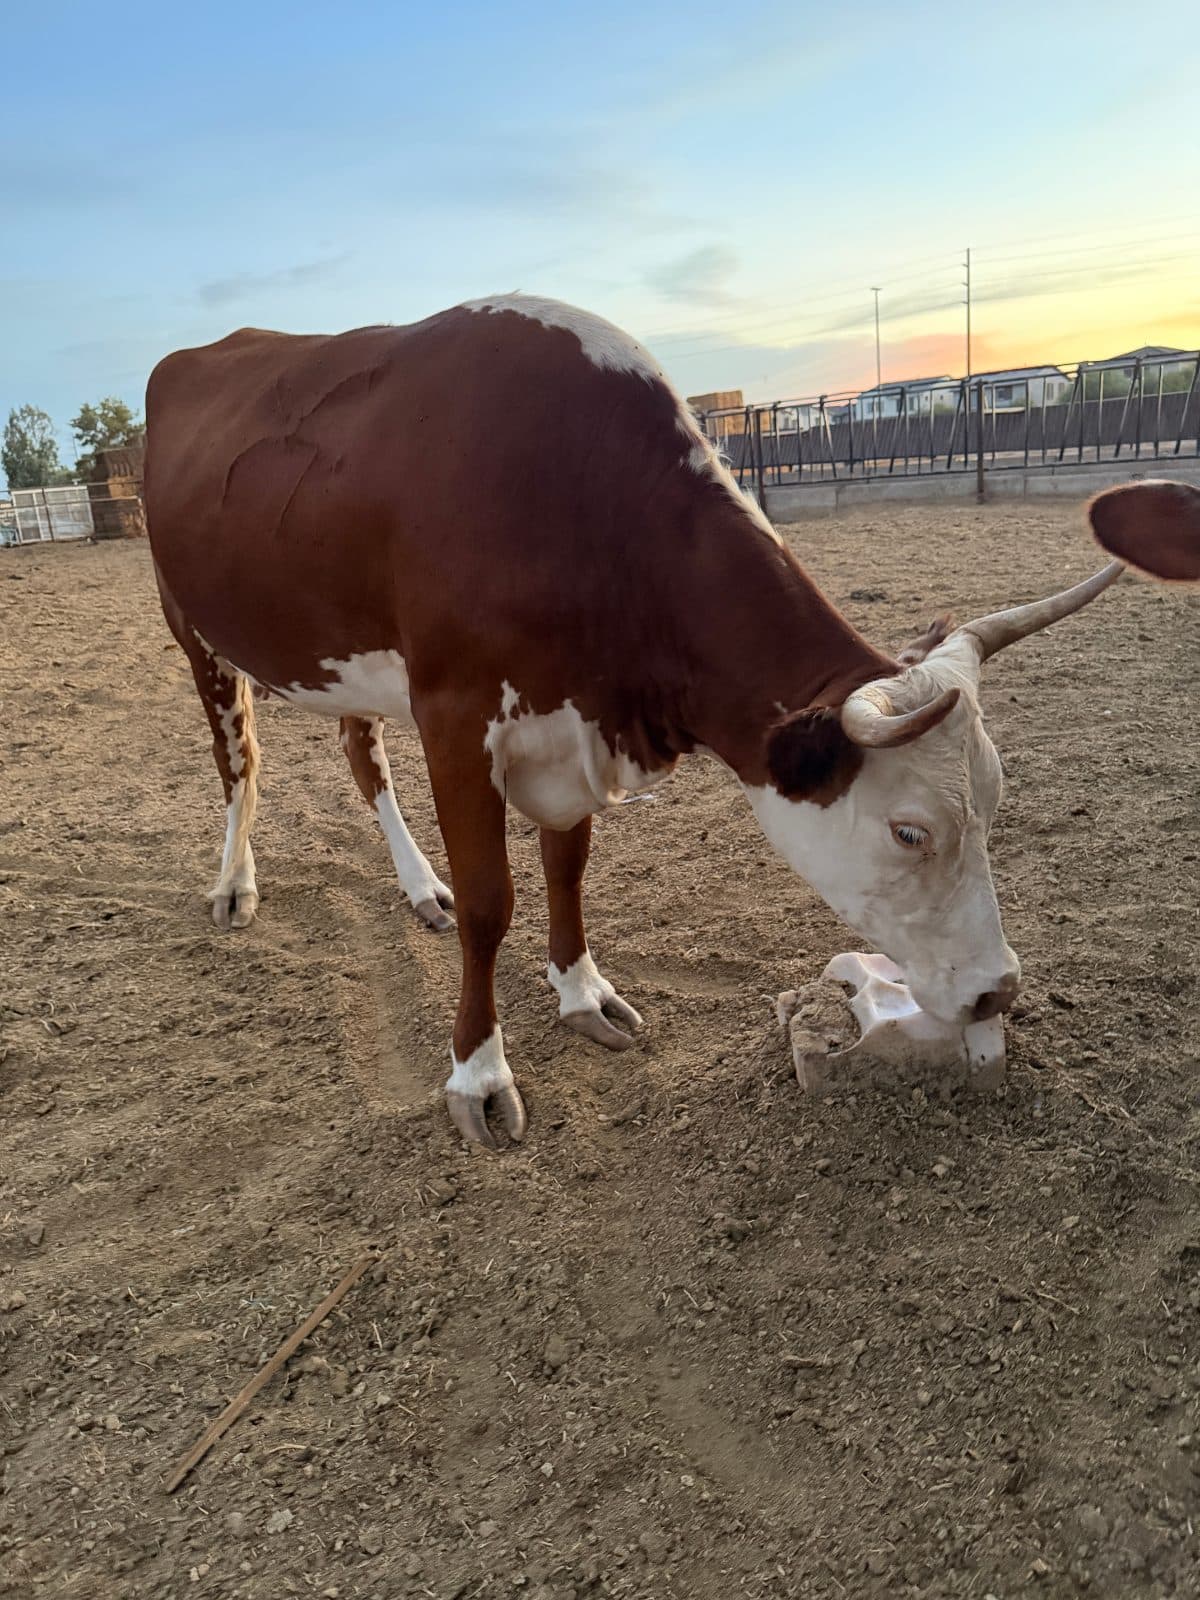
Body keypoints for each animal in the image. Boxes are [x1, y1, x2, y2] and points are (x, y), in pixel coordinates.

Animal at [143, 294, 1191, 1147]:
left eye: (997, 801)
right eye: (908, 831)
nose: (995, 990)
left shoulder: (569, 729)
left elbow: (566, 868)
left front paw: (581, 992)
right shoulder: (456, 713)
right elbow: (492, 904)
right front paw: (478, 1072)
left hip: (343, 663)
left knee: (362, 755)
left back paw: (415, 885)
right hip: (194, 627)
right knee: (239, 758)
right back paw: (235, 881)